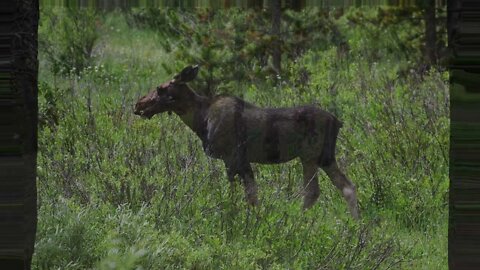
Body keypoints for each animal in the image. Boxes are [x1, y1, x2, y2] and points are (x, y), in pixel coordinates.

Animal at [133, 65, 358, 219]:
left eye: (160, 89)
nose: (138, 104)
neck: (200, 119)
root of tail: (337, 121)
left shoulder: (233, 157)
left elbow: (245, 195)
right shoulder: (237, 161)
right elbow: (248, 195)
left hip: (310, 155)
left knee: (312, 192)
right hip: (325, 157)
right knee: (347, 186)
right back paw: (355, 224)